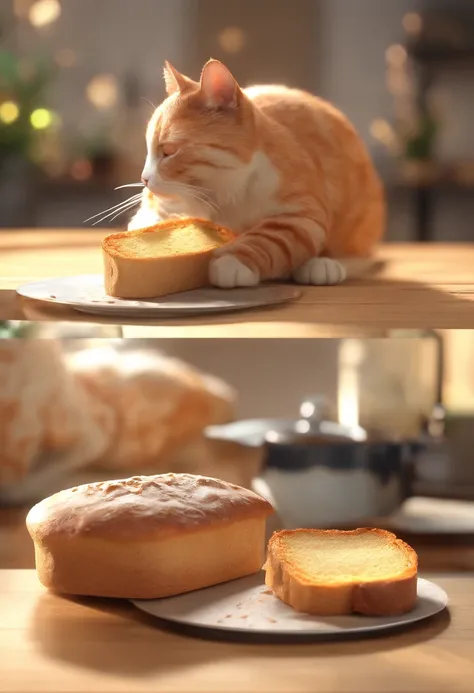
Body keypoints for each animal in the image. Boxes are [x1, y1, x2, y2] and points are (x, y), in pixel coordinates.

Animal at [130, 59, 386, 286]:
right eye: (148, 150)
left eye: (169, 151)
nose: (144, 179)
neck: (224, 197)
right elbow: (146, 218)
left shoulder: (302, 215)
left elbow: (268, 240)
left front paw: (233, 261)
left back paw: (323, 265)